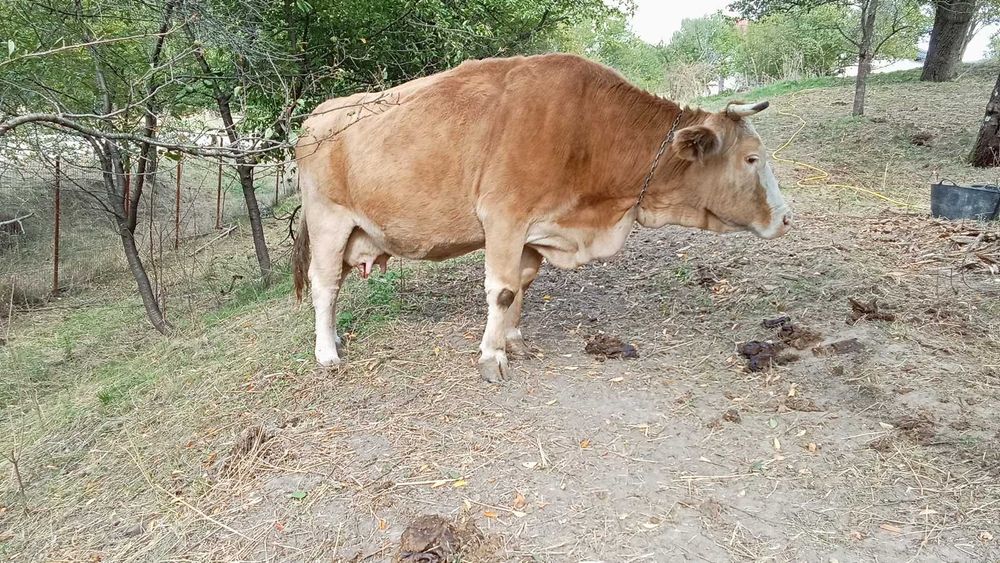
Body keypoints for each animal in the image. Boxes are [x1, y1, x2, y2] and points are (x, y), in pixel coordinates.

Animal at [292, 53, 792, 383]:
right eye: (751, 159)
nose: (787, 218)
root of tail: (315, 117)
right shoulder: (503, 217)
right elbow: (502, 289)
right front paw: (491, 357)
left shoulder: (534, 231)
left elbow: (521, 284)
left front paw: (513, 340)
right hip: (328, 222)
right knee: (324, 286)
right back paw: (326, 352)